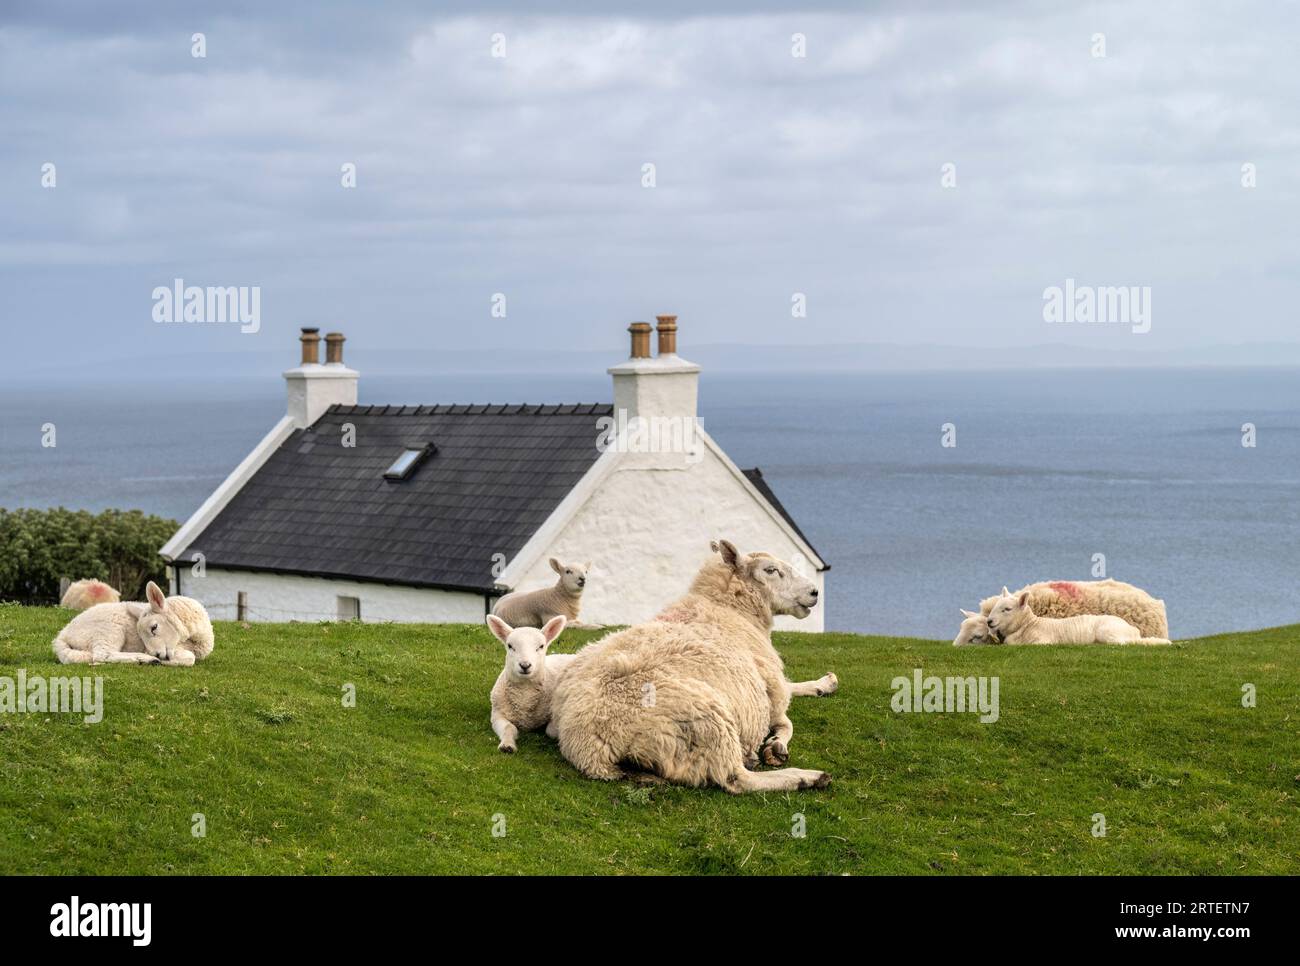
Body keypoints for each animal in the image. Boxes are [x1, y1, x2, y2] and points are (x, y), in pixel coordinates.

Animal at [53, 577, 215, 670]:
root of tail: (62, 635)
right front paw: (158, 660)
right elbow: (189, 658)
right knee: (103, 655)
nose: (156, 653)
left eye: (154, 627)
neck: (192, 640)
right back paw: (146, 660)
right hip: (108, 630)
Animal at [486, 611, 572, 754]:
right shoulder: (497, 716)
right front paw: (507, 745)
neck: (524, 694)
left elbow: (550, 730)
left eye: (541, 646)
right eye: (510, 646)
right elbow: (509, 728)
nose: (525, 665)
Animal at [548, 540, 832, 795]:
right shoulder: (769, 693)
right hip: (710, 722)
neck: (730, 610)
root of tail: (588, 745)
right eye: (771, 570)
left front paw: (822, 685)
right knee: (736, 779)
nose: (814, 592)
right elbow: (786, 719)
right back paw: (807, 777)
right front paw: (778, 744)